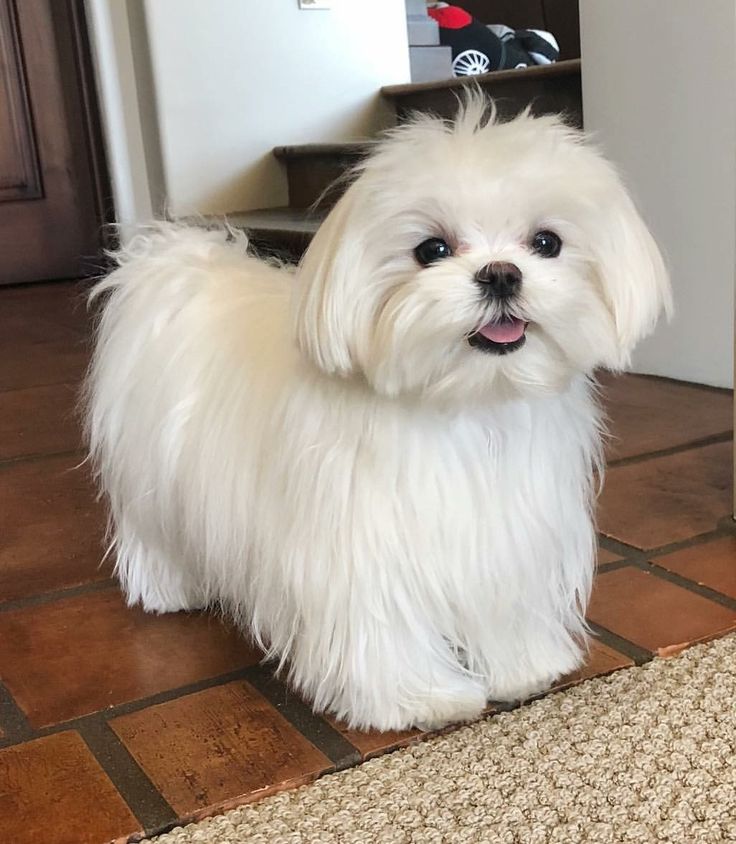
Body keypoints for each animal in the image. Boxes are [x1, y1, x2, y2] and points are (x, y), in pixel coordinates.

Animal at [86, 100, 672, 732]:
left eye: (546, 242)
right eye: (431, 250)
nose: (500, 272)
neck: (464, 403)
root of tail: (181, 268)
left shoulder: (505, 530)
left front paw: (523, 667)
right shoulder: (361, 548)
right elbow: (380, 628)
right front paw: (423, 699)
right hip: (151, 479)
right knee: (153, 536)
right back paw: (170, 592)